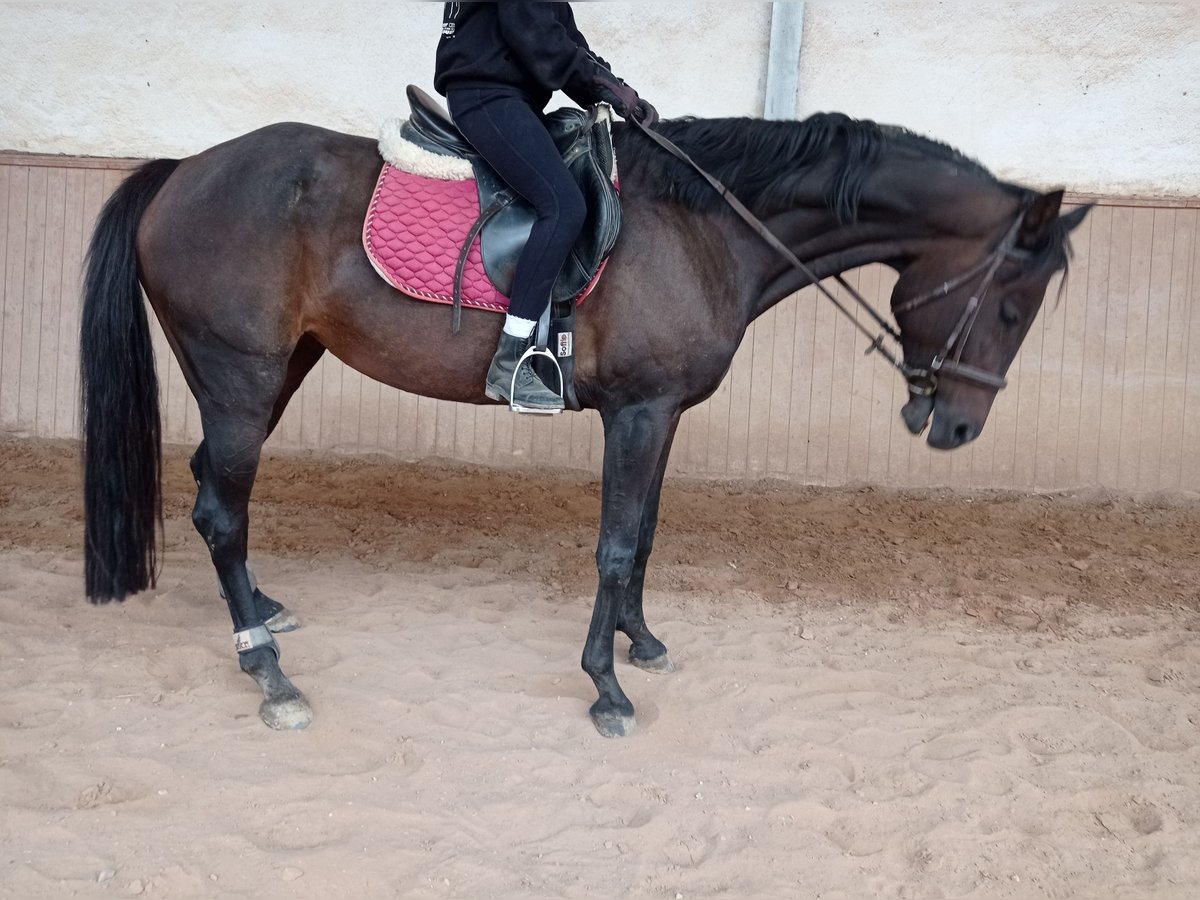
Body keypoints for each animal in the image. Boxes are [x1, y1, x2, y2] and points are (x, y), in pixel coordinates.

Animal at [82, 112, 1089, 734]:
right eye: (1010, 306)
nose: (957, 431)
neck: (707, 228)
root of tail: (182, 171)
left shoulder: (663, 415)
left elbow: (644, 535)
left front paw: (641, 644)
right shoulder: (635, 414)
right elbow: (613, 545)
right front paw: (605, 687)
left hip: (274, 371)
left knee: (214, 492)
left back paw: (263, 613)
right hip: (241, 377)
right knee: (221, 511)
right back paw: (269, 673)